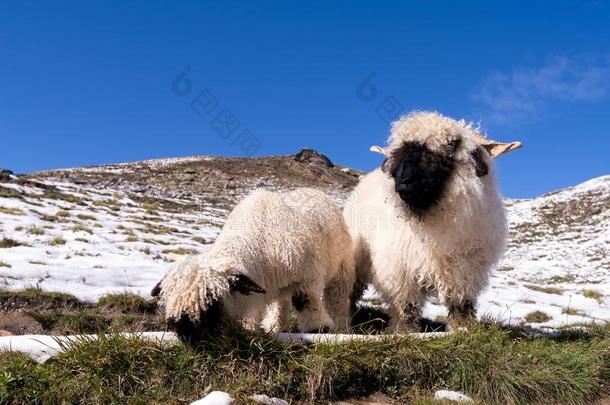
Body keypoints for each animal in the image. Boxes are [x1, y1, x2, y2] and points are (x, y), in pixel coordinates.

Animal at [152, 187, 354, 340]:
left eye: (213, 300)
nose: (185, 333)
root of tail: (310, 189)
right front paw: (252, 329)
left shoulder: (308, 278)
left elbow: (306, 302)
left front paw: (318, 329)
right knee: (280, 304)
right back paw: (275, 326)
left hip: (341, 266)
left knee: (338, 297)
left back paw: (341, 326)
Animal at [344, 109, 520, 328]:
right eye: (399, 151)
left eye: (452, 144)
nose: (404, 183)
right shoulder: (401, 271)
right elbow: (407, 307)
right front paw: (403, 331)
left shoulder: (466, 271)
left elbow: (461, 304)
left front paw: (461, 328)